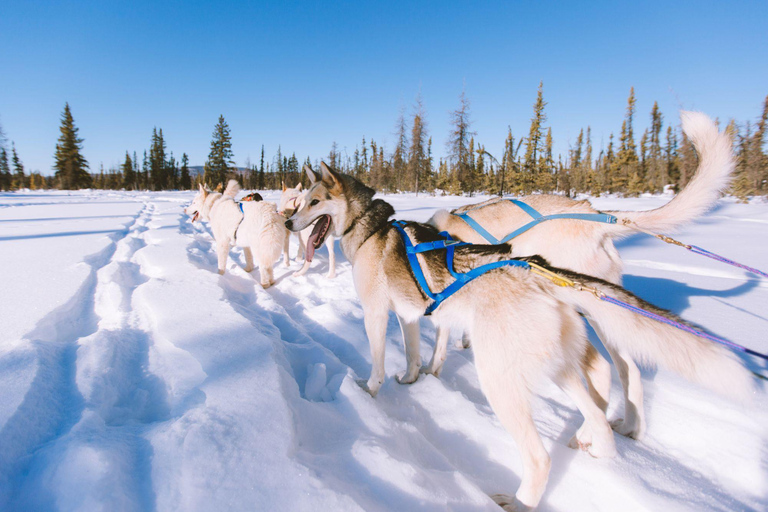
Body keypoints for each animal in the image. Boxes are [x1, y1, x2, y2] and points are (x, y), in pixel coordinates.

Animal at [284, 162, 752, 510]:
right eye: (300, 202)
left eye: (314, 202)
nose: (288, 221)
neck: (368, 229)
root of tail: (541, 274)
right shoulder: (411, 316)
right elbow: (415, 353)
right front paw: (413, 378)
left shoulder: (377, 314)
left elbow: (379, 361)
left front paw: (369, 390)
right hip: (559, 362)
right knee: (598, 394)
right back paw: (595, 438)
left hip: (500, 378)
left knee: (541, 454)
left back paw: (523, 498)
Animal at [426, 111, 732, 440]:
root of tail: (594, 218)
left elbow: (440, 342)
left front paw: (429, 373)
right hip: (603, 313)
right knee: (629, 370)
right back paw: (630, 428)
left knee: (609, 370)